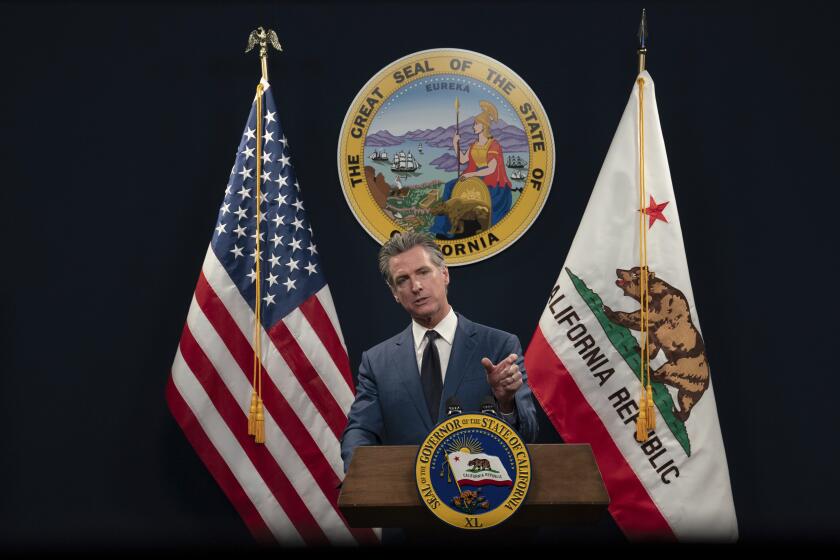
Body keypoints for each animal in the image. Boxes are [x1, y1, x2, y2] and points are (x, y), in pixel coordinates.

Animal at [604, 266, 708, 420]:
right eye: (631, 269)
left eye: (634, 273)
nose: (618, 270)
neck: (651, 294)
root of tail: (706, 382)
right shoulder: (655, 331)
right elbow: (652, 344)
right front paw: (640, 350)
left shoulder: (662, 310)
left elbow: (639, 318)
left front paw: (610, 311)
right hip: (690, 386)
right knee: (685, 399)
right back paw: (678, 413)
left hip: (685, 368)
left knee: (667, 371)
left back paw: (652, 373)